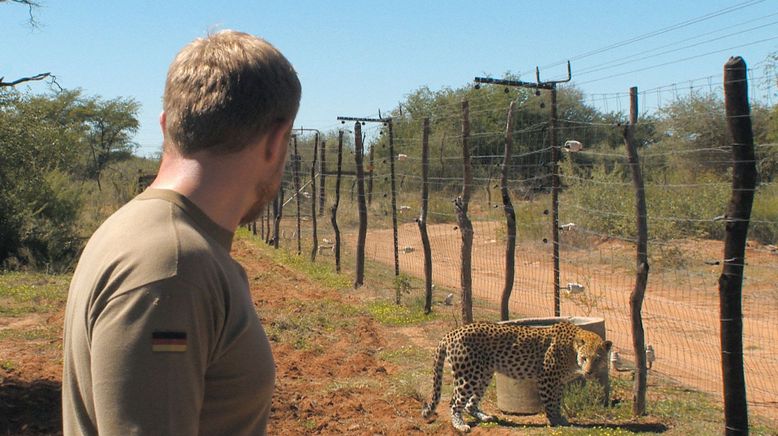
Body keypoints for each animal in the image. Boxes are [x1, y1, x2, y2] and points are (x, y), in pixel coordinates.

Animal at [422, 320, 608, 432]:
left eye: (598, 359)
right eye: (585, 358)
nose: (589, 372)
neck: (572, 349)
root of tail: (451, 333)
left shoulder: (559, 381)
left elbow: (557, 400)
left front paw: (560, 418)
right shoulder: (546, 378)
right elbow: (550, 402)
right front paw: (554, 420)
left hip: (484, 374)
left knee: (469, 404)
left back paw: (485, 416)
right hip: (468, 375)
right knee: (454, 403)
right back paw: (460, 425)